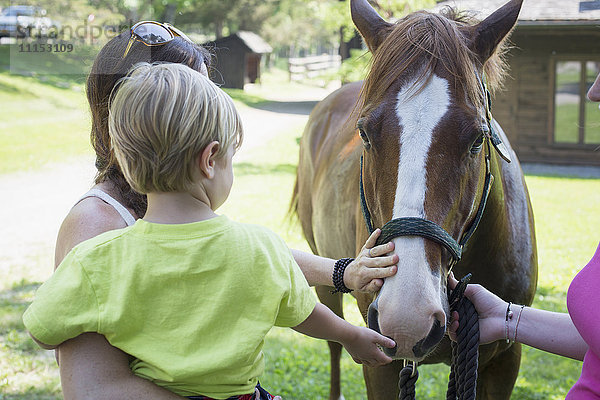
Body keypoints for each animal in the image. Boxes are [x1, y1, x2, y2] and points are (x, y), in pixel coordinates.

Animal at [292, 0, 536, 398]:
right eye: (364, 133)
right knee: (333, 344)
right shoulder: (380, 362)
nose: (406, 317)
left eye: (477, 139)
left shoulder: (504, 361)